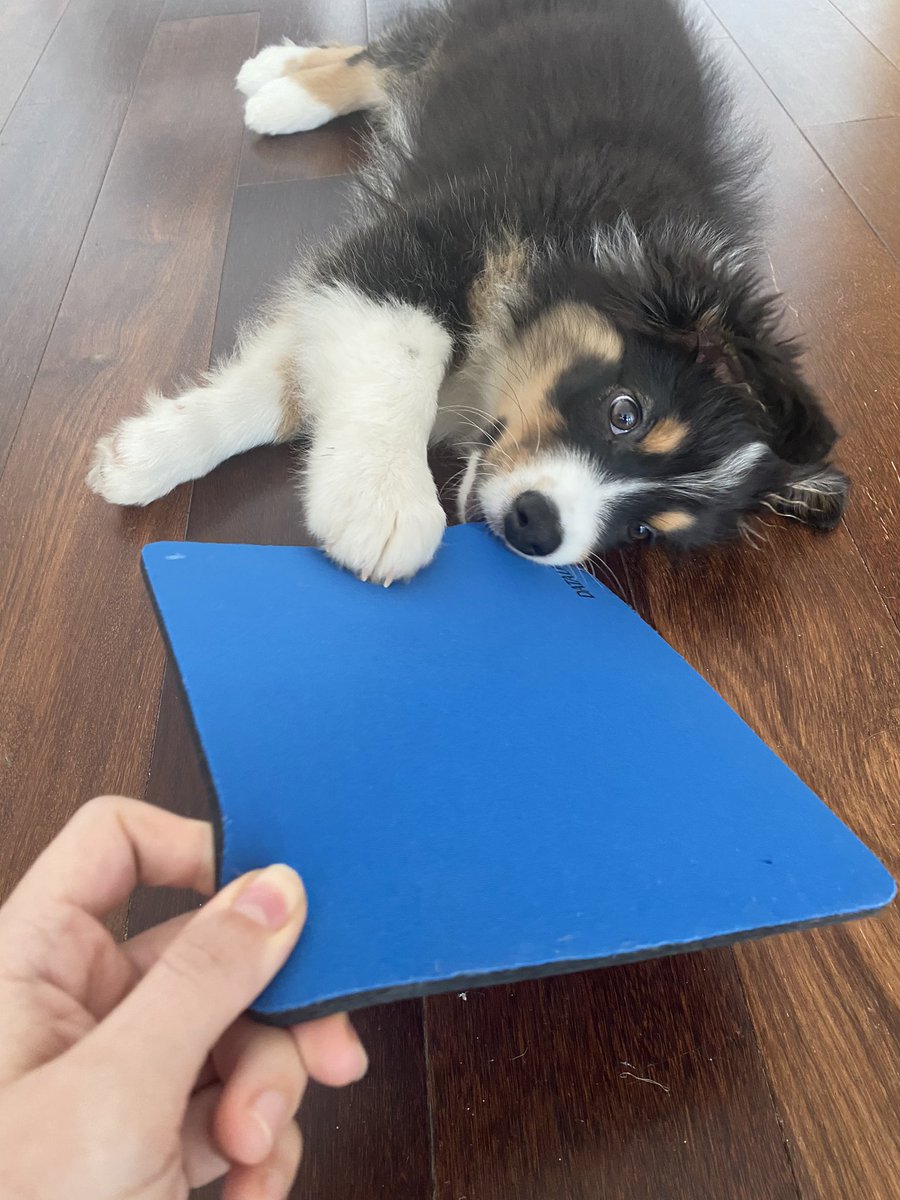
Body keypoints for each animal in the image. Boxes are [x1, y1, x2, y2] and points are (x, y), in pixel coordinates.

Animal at [88, 0, 849, 583]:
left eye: (645, 532)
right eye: (625, 412)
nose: (538, 528)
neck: (612, 256)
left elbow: (281, 383)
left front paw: (143, 454)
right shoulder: (426, 243)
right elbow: (405, 348)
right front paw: (381, 501)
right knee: (381, 56)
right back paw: (281, 89)